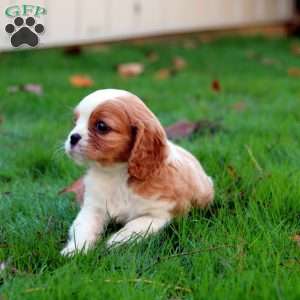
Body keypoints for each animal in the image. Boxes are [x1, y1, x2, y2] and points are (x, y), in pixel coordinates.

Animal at [61, 89, 213, 255]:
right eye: (75, 122)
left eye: (101, 126)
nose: (72, 137)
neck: (115, 173)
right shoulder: (93, 207)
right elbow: (84, 226)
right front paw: (75, 250)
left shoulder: (160, 213)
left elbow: (135, 225)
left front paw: (114, 241)